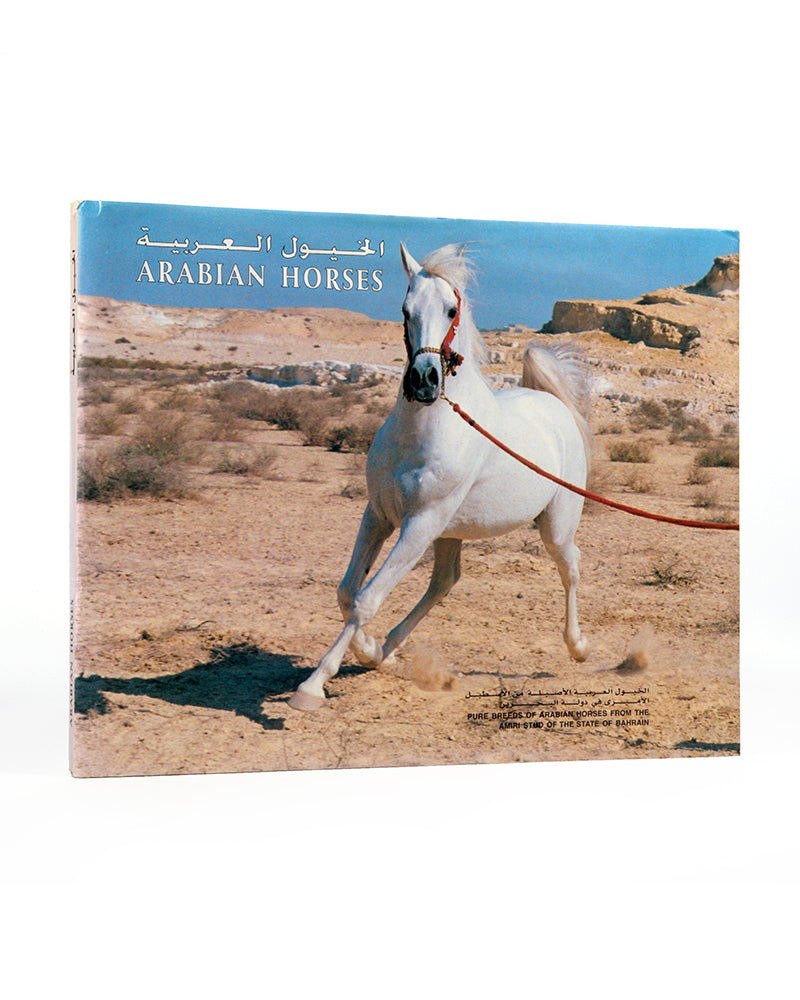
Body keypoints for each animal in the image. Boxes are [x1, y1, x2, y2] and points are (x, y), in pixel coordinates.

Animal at [288, 243, 593, 711]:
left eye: (451, 310)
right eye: (404, 309)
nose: (424, 381)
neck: (421, 433)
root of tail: (551, 403)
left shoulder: (420, 523)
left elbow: (366, 599)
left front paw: (312, 686)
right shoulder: (378, 515)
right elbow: (346, 591)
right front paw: (368, 650)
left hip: (554, 526)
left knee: (571, 568)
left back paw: (577, 646)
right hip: (452, 532)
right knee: (444, 582)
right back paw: (388, 649)